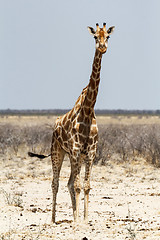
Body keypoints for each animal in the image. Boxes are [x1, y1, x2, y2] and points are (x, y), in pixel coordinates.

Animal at [28, 23, 114, 223]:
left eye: (108, 36)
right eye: (94, 37)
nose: (102, 47)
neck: (88, 111)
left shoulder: (90, 152)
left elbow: (86, 185)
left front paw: (84, 219)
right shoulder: (75, 150)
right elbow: (77, 186)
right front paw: (78, 221)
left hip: (75, 157)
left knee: (68, 183)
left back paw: (74, 216)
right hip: (58, 151)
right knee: (56, 183)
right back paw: (53, 219)